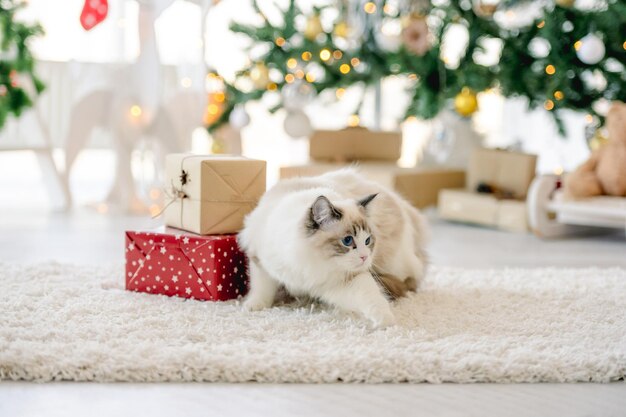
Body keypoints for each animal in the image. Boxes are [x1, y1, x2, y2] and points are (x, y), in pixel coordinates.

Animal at [236, 167, 426, 326]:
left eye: (367, 241)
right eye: (348, 241)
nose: (365, 257)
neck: (313, 262)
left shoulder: (343, 281)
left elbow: (372, 297)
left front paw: (385, 320)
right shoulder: (259, 260)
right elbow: (262, 288)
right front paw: (254, 306)